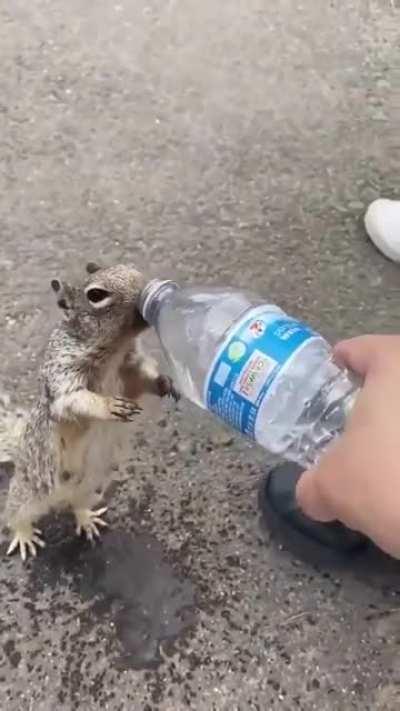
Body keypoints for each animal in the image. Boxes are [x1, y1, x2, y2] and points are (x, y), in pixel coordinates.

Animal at [5, 262, 179, 561]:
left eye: (130, 268)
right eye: (96, 295)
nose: (146, 287)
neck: (115, 350)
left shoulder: (131, 369)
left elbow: (144, 379)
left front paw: (164, 382)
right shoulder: (64, 374)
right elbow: (74, 400)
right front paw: (109, 406)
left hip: (89, 487)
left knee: (77, 505)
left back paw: (86, 519)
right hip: (29, 491)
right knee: (14, 514)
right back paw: (23, 535)